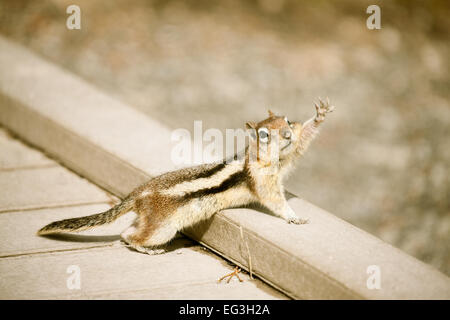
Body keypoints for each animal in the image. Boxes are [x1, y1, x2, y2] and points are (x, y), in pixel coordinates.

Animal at [37, 99, 334, 254]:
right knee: (134, 236)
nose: (288, 134)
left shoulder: (289, 156)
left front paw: (319, 117)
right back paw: (146, 248)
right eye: (263, 134)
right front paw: (294, 217)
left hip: (152, 222)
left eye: (288, 121)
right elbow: (275, 202)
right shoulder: (263, 182)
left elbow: (302, 144)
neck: (269, 159)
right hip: (163, 227)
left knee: (128, 231)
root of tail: (139, 193)